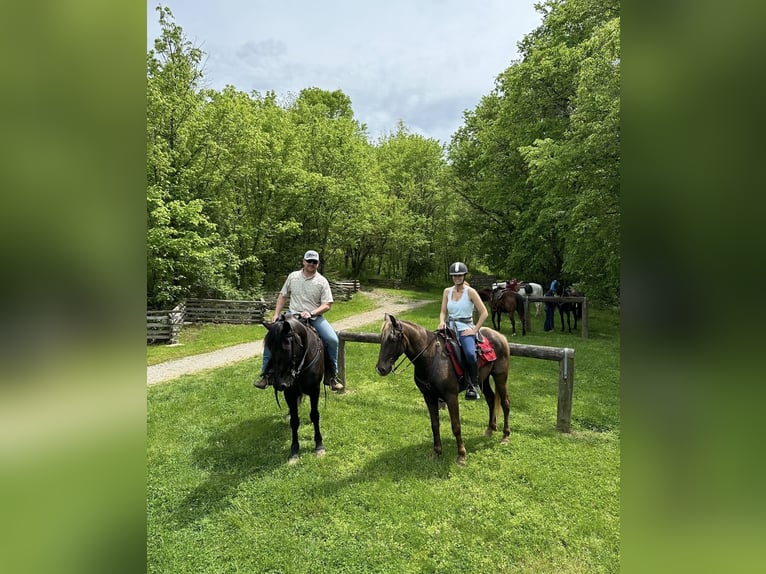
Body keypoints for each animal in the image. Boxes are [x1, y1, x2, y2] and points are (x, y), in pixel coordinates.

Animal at [262, 316, 326, 464]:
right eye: (269, 349)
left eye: (285, 349)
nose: (279, 384)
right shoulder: (290, 393)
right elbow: (295, 421)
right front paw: (294, 451)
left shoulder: (315, 390)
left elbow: (315, 415)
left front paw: (319, 446)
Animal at [376, 316, 512, 468]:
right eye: (381, 338)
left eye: (393, 339)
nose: (381, 369)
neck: (430, 358)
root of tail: (500, 336)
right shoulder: (429, 397)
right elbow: (434, 424)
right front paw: (436, 452)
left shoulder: (451, 397)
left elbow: (456, 426)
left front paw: (461, 455)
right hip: (484, 379)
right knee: (491, 400)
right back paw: (490, 429)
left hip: (500, 377)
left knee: (505, 403)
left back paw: (505, 436)